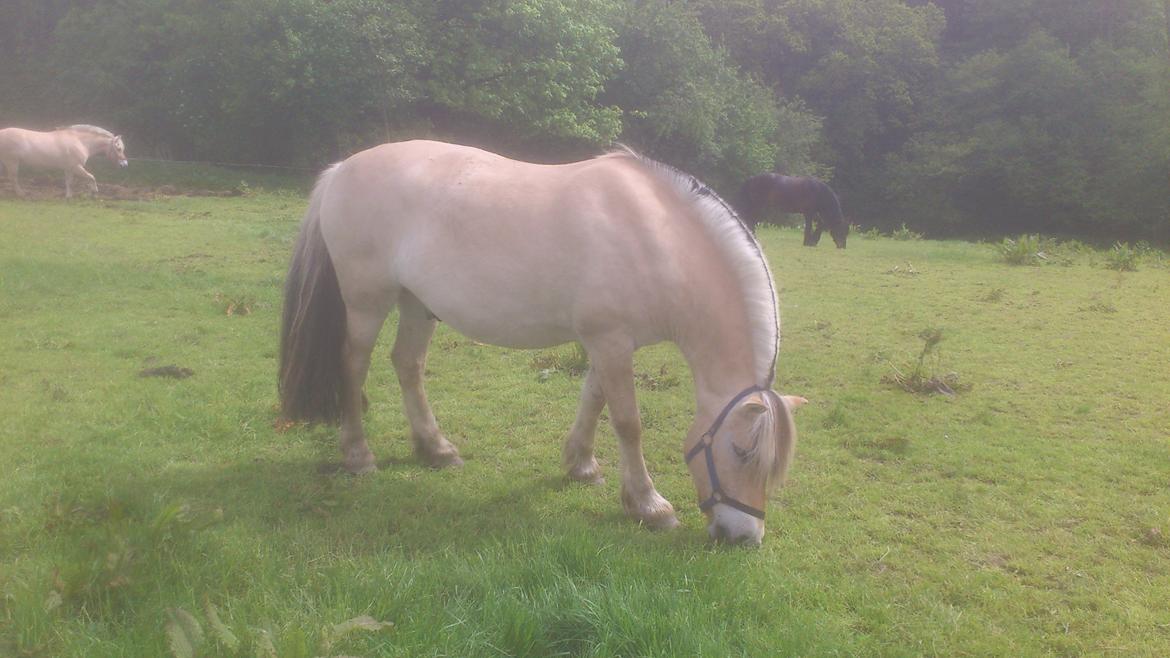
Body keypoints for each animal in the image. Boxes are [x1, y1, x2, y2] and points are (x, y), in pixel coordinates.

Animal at [0, 122, 128, 194]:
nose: (124, 164)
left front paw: (68, 198)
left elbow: (69, 183)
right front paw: (94, 192)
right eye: (118, 148)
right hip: (12, 162)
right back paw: (21, 194)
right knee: (13, 179)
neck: (80, 141)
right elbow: (91, 177)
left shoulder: (69, 169)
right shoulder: (76, 167)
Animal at [281, 139, 809, 543]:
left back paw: (436, 450)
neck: (654, 237)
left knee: (407, 364)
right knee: (353, 366)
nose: (744, 537)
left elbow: (593, 401)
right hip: (367, 302)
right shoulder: (610, 341)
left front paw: (581, 466)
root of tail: (341, 170)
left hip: (416, 303)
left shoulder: (609, 342)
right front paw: (649, 505)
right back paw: (358, 456)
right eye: (742, 452)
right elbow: (628, 423)